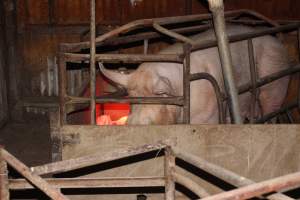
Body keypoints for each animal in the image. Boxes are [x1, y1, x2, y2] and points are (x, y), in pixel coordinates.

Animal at [99, 24, 290, 125]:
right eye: (132, 98)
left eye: (160, 95)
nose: (135, 123)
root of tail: (279, 43)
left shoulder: (208, 115)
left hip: (276, 82)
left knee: (271, 109)